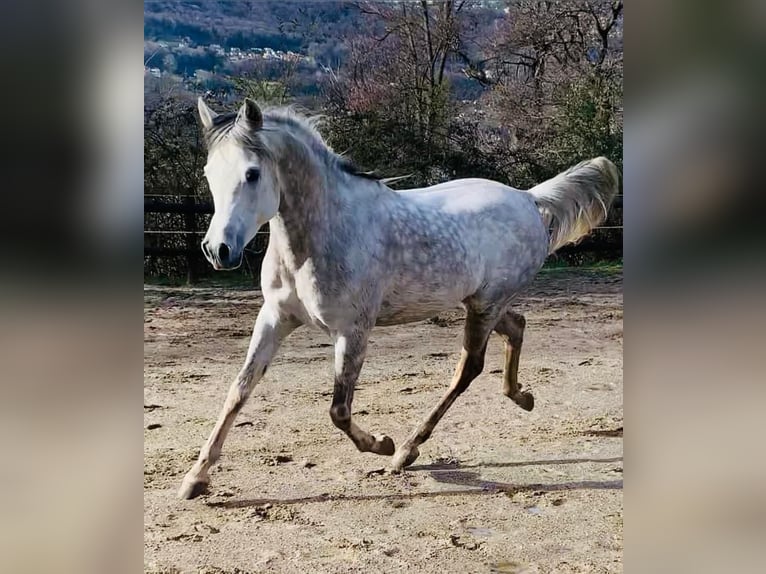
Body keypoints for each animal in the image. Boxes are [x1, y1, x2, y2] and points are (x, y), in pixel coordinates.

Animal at [178, 98, 616, 500]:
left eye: (251, 174)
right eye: (209, 173)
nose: (217, 250)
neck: (322, 235)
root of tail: (528, 198)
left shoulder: (353, 330)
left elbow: (338, 410)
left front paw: (381, 444)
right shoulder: (275, 317)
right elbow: (239, 389)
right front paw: (195, 479)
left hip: (485, 305)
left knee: (468, 368)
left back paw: (406, 450)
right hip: (478, 300)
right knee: (517, 326)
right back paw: (521, 397)